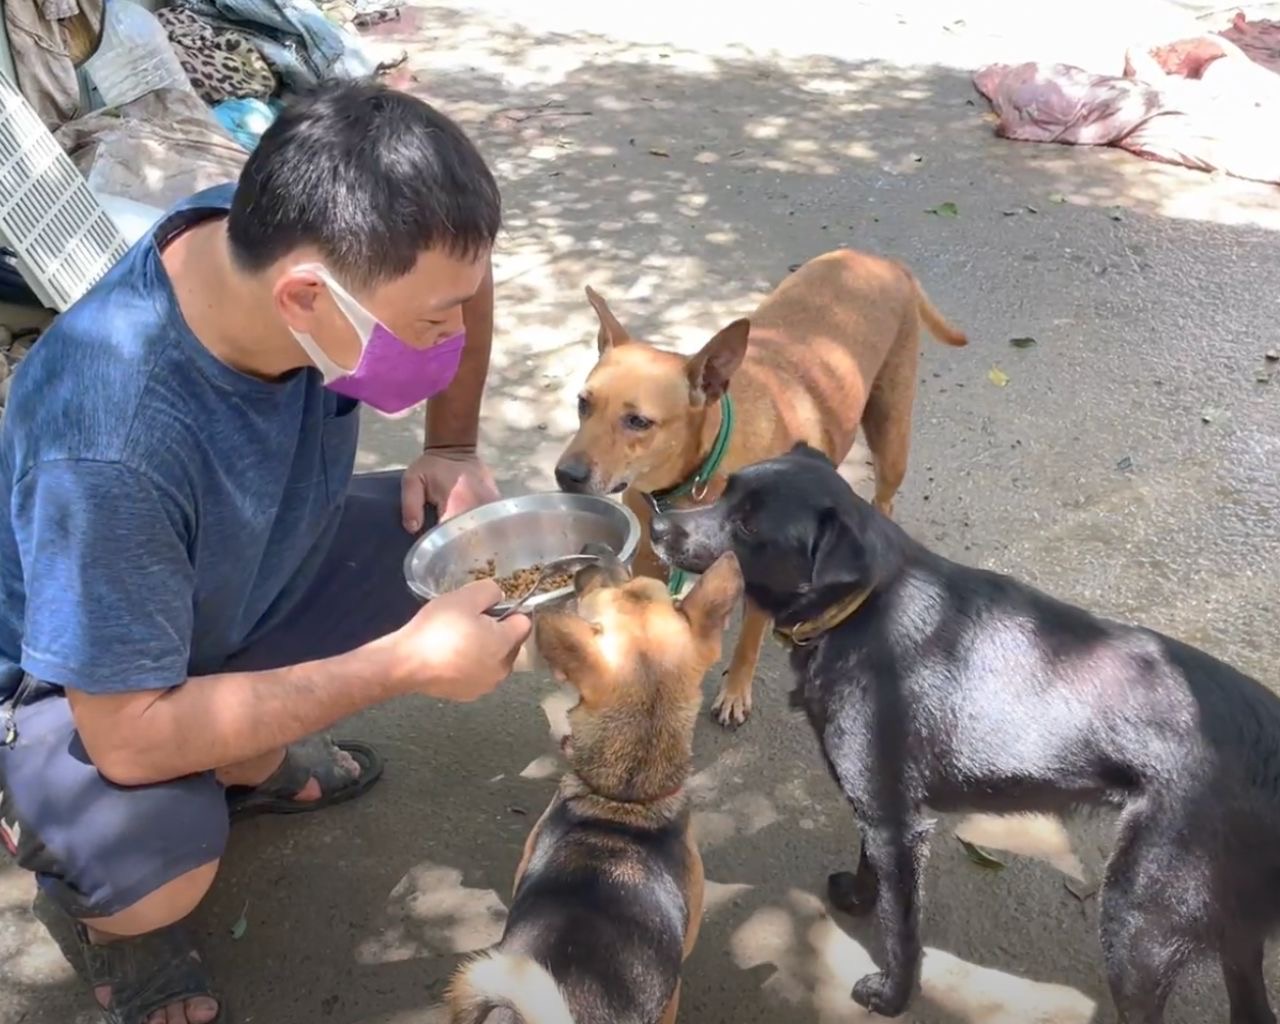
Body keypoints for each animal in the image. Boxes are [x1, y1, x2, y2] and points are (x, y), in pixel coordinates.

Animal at [550, 248, 962, 727]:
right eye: (583, 403)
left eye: (638, 421)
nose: (566, 475)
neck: (694, 476)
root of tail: (880, 260)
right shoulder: (652, 562)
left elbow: (748, 642)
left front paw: (734, 693)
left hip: (891, 436)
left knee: (885, 499)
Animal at [650, 445, 1280, 1024]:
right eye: (725, 489)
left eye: (749, 526)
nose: (656, 527)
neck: (862, 605)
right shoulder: (882, 808)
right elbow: (870, 869)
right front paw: (856, 897)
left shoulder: (895, 824)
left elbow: (902, 928)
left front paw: (892, 996)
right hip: (1228, 930)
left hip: (1138, 920)